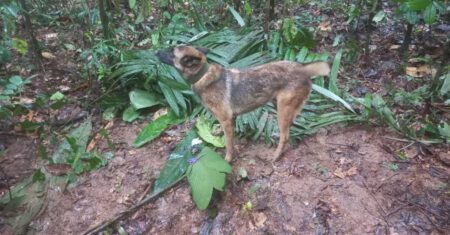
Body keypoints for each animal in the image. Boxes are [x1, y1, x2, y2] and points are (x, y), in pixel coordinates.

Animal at [156, 44, 330, 162]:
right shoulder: (228, 119)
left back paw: (275, 155)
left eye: (171, 51)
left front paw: (227, 159)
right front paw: (217, 133)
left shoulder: (226, 120)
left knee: (285, 136)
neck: (203, 75)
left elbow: (228, 144)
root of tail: (302, 68)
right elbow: (224, 134)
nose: (155, 51)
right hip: (278, 105)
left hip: (283, 110)